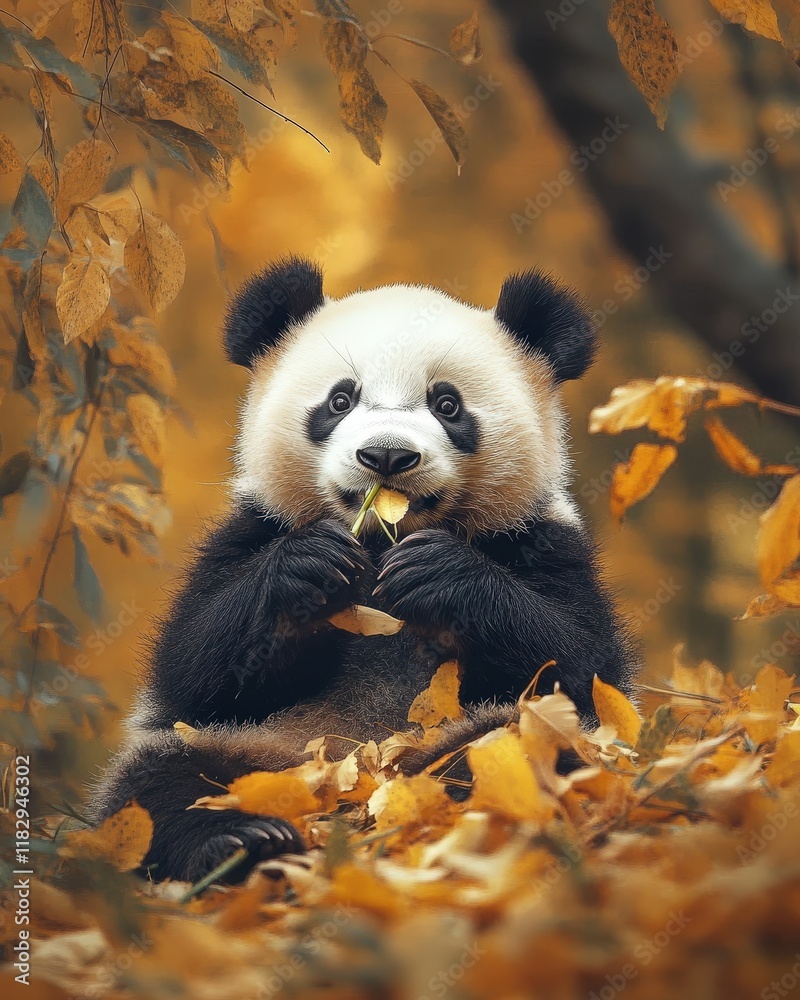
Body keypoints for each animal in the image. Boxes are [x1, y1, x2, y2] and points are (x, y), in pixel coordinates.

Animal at [90, 256, 636, 882]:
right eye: (340, 401)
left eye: (447, 404)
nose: (387, 456)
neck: (376, 546)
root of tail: (356, 801)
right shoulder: (251, 530)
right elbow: (193, 671)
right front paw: (311, 568)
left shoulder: (539, 538)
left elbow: (580, 665)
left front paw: (438, 576)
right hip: (256, 749)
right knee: (160, 786)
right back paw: (241, 842)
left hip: (464, 743)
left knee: (528, 746)